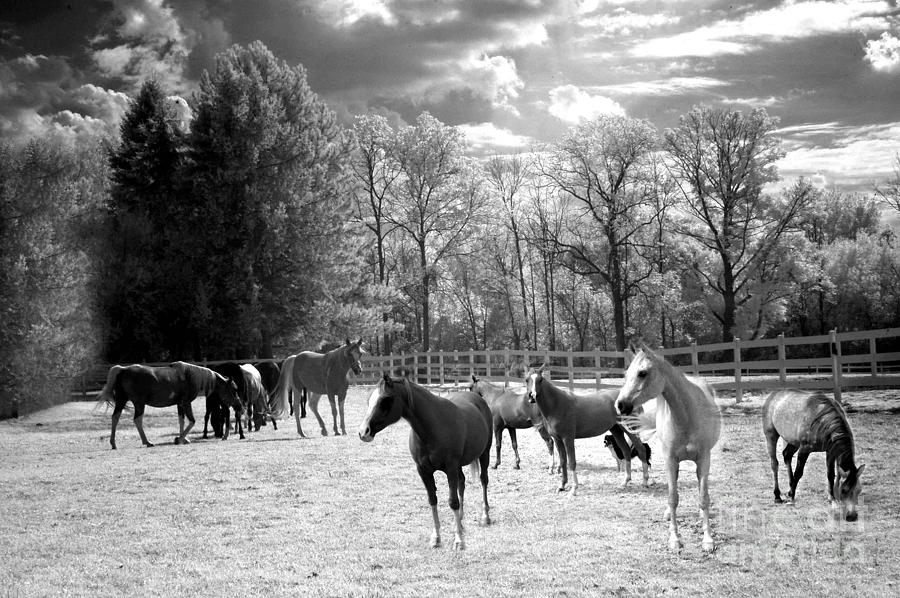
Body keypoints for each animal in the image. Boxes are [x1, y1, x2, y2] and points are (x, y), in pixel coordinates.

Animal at [98, 360, 241, 450]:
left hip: (121, 401)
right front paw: (179, 439)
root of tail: (123, 370)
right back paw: (147, 442)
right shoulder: (186, 403)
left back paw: (113, 443)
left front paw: (184, 439)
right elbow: (192, 421)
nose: (239, 405)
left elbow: (181, 421)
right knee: (137, 419)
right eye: (234, 389)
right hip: (139, 404)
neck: (190, 376)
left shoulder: (179, 405)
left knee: (115, 417)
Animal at [358, 376, 492, 552]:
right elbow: (432, 500)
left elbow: (453, 502)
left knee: (483, 480)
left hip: (485, 454)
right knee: (462, 483)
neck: (434, 427)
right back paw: (461, 523)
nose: (363, 432)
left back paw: (485, 517)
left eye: (385, 399)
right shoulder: (424, 471)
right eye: (370, 399)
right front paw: (436, 538)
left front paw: (458, 541)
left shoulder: (450, 468)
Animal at [524, 366, 652, 496]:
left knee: (641, 449)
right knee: (626, 451)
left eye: (540, 380)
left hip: (631, 430)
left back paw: (645, 481)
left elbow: (572, 462)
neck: (557, 404)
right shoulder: (558, 439)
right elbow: (563, 461)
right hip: (617, 430)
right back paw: (625, 482)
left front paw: (574, 489)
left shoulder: (568, 438)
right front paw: (562, 486)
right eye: (526, 379)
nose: (532, 396)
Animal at [612, 346, 724, 552]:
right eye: (626, 374)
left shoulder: (704, 459)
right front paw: (674, 538)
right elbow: (673, 498)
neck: (687, 416)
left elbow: (703, 497)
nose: (620, 405)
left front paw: (707, 538)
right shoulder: (670, 460)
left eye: (642, 373)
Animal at [768, 392, 864, 524]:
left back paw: (789, 489)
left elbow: (830, 474)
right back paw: (777, 496)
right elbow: (798, 473)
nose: (852, 516)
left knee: (787, 455)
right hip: (771, 435)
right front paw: (791, 498)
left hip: (793, 442)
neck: (825, 421)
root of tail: (773, 395)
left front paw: (832, 498)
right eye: (844, 490)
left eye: (859, 490)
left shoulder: (830, 451)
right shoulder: (804, 449)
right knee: (774, 463)